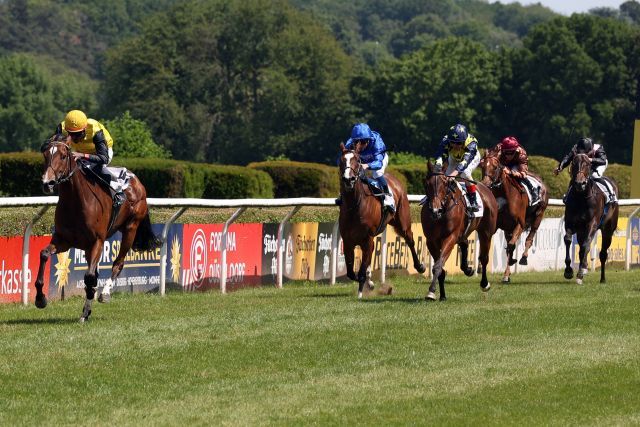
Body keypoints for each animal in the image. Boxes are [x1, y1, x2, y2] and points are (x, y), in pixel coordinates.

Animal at [36, 134, 161, 320]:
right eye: (45, 155)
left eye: (63, 156)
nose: (47, 183)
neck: (76, 202)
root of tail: (136, 181)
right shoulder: (63, 240)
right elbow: (44, 254)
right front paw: (40, 299)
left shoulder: (97, 241)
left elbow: (89, 276)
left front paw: (87, 307)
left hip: (131, 228)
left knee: (118, 263)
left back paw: (105, 294)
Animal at [338, 143, 428, 298]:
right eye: (342, 160)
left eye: (357, 160)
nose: (348, 179)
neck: (355, 206)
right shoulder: (348, 240)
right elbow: (351, 272)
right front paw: (368, 283)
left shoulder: (367, 238)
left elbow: (361, 271)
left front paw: (361, 293)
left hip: (402, 221)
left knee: (410, 239)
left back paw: (420, 267)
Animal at [422, 163, 498, 300]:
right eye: (427, 184)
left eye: (445, 183)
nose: (436, 210)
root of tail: (485, 188)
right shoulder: (431, 240)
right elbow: (439, 267)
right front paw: (441, 295)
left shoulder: (450, 237)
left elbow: (438, 266)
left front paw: (431, 291)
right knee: (465, 243)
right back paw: (467, 269)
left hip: (486, 232)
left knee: (484, 258)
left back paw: (484, 283)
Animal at [480, 148, 552, 284]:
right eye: (481, 165)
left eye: (495, 166)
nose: (485, 184)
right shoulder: (497, 225)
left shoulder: (520, 224)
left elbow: (511, 246)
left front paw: (508, 271)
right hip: (508, 228)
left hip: (538, 216)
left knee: (530, 237)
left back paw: (523, 257)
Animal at [564, 152, 616, 286]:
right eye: (574, 163)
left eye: (588, 164)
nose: (580, 183)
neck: (582, 198)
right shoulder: (570, 222)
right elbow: (568, 240)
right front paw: (568, 270)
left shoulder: (592, 223)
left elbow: (586, 244)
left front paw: (580, 273)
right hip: (581, 230)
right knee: (582, 248)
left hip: (608, 230)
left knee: (602, 254)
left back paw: (602, 278)